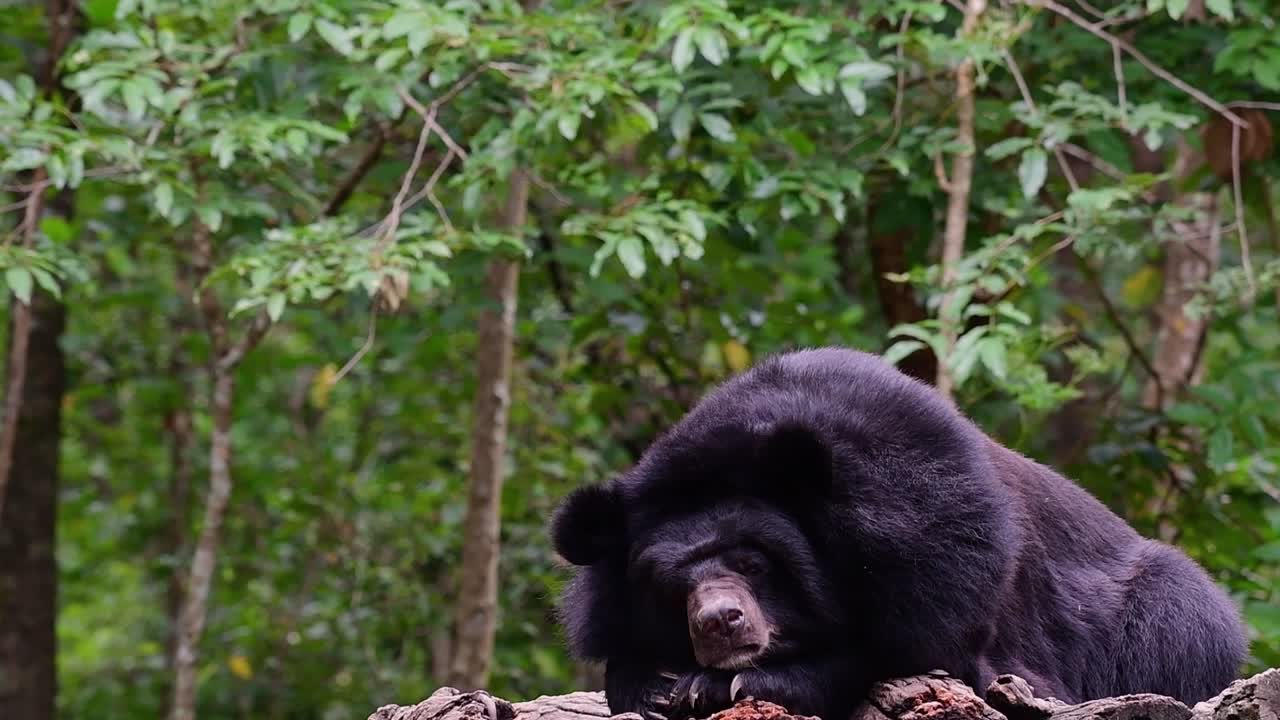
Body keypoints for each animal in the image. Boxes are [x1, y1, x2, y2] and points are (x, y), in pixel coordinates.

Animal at [550, 347, 1247, 720]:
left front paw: (719, 685)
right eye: (669, 587)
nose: (720, 622)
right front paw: (652, 684)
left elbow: (917, 656)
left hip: (1169, 620)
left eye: (752, 561)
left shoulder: (943, 548)